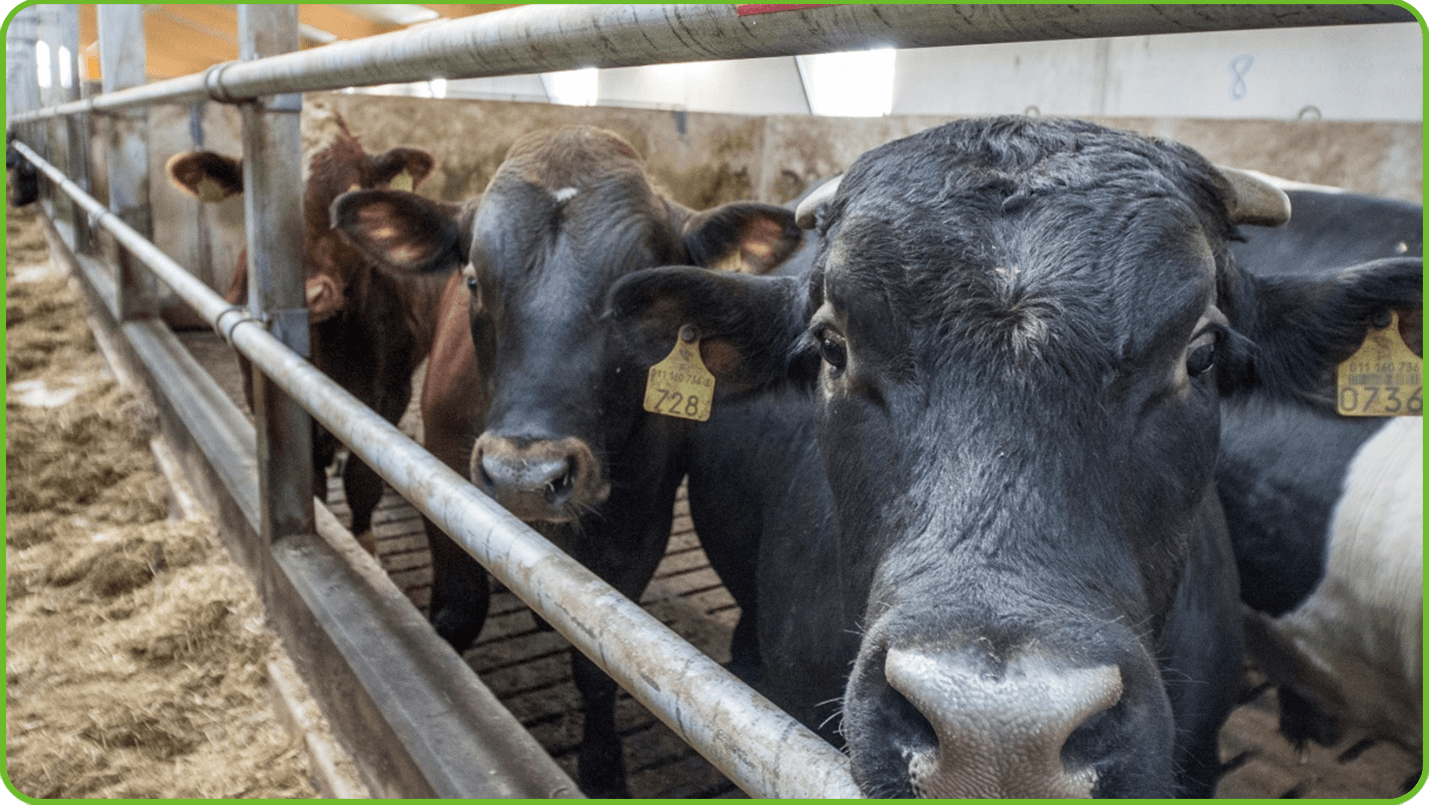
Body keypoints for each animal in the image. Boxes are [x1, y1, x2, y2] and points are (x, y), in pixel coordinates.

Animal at [166, 117, 445, 553]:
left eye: (348, 195)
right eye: (252, 196)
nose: (311, 292)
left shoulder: (391, 389)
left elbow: (363, 479)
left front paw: (364, 543)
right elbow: (311, 479)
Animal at [328, 125, 802, 797]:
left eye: (641, 300)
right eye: (473, 280)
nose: (525, 476)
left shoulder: (639, 523)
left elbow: (599, 661)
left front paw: (603, 767)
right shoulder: (443, 479)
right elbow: (459, 612)